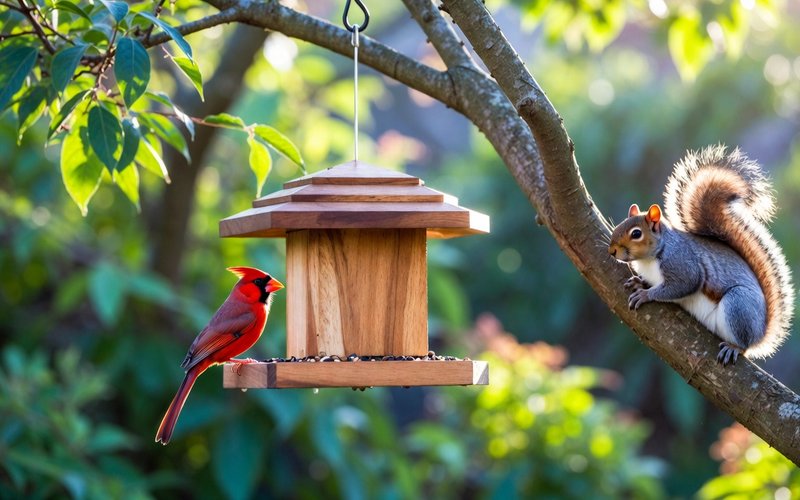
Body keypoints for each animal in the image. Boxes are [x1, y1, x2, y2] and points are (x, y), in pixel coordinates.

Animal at [608, 145, 794, 365]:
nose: (612, 251)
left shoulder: (682, 264)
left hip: (738, 305)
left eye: (636, 234)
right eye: (619, 225)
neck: (649, 258)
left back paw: (735, 347)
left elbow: (683, 285)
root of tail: (761, 333)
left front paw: (646, 294)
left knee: (745, 344)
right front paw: (639, 282)